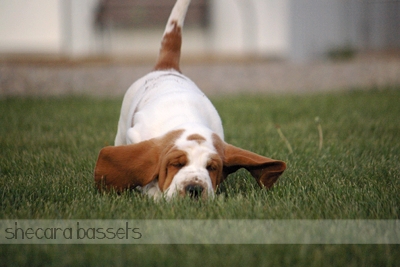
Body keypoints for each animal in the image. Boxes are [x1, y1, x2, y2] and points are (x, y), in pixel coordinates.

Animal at [95, 0, 286, 199]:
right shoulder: (136, 136)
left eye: (211, 168)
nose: (194, 189)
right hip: (122, 126)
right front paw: (152, 191)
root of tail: (167, 67)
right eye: (177, 164)